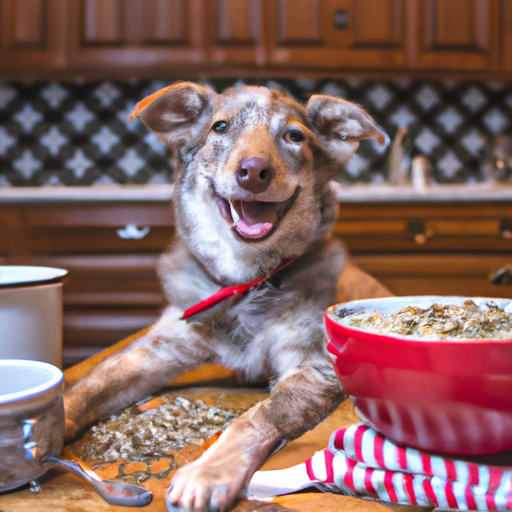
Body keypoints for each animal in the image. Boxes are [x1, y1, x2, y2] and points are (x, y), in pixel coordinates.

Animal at [64, 82, 392, 510]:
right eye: (220, 127)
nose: (253, 171)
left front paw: (208, 472)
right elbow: (94, 384)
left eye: (295, 136)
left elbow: (256, 418)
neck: (246, 282)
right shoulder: (165, 343)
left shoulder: (315, 366)